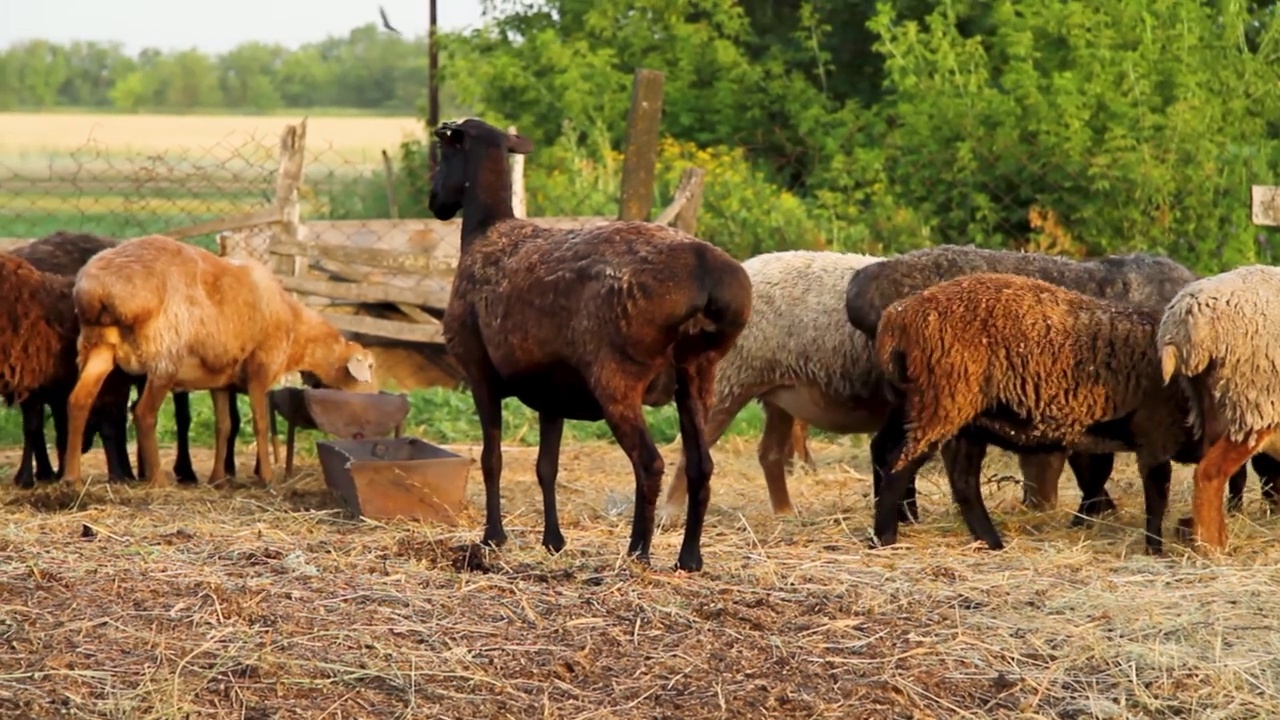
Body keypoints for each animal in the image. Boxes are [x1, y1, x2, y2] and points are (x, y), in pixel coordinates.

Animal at [62, 235, 376, 486]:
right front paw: (266, 478)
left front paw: (217, 478)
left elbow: (223, 427)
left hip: (98, 346)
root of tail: (99, 288)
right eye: (370, 367)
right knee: (143, 414)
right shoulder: (259, 372)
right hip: (164, 356)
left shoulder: (220, 382)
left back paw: (71, 478)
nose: (375, 396)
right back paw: (158, 480)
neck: (294, 326)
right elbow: (260, 424)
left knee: (78, 401)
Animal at [430, 117, 747, 568]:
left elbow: (492, 459)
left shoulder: (479, 372)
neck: (485, 230)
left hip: (617, 376)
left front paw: (494, 537)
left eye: (443, 153)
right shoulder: (551, 394)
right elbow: (547, 467)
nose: (434, 201)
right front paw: (553, 541)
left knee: (650, 464)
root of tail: (706, 275)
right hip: (699, 374)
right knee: (699, 466)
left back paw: (638, 552)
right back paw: (689, 559)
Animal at [865, 271, 1203, 550]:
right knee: (900, 464)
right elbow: (1156, 494)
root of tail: (898, 316)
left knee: (952, 476)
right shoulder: (1155, 434)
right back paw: (885, 538)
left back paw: (990, 543)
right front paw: (1154, 548)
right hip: (943, 403)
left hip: (947, 414)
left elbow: (1099, 478)